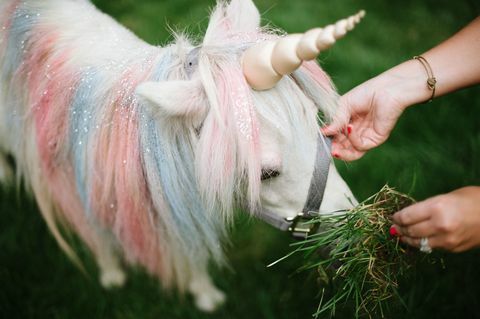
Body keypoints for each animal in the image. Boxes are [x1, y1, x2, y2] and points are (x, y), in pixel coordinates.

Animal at [0, 0, 358, 312]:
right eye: (265, 174)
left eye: (315, 122)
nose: (348, 219)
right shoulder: (70, 178)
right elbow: (98, 233)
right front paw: (112, 275)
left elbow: (188, 245)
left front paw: (204, 294)